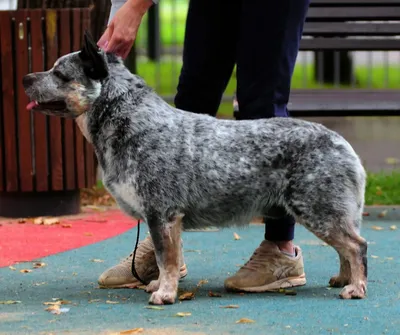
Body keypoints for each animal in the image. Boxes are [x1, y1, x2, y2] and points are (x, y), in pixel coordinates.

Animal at [23, 32, 368, 308]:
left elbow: (166, 259)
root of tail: (343, 144)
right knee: (346, 247)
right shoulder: (165, 219)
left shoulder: (161, 214)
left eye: (59, 73)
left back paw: (355, 288)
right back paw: (342, 279)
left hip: (318, 209)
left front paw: (164, 294)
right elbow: (166, 259)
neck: (131, 123)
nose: (26, 78)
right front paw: (159, 284)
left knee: (356, 246)